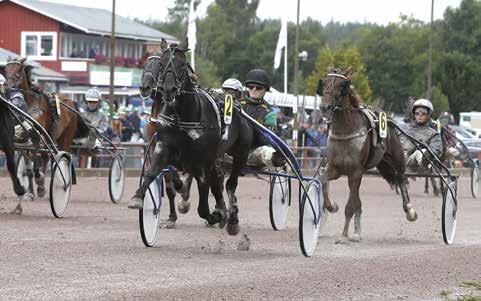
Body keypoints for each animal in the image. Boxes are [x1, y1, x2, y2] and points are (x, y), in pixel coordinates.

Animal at [129, 37, 256, 233]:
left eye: (182, 64)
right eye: (161, 63)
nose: (169, 89)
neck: (184, 116)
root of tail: (238, 107)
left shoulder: (202, 163)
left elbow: (203, 206)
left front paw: (214, 214)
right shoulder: (161, 148)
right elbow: (154, 175)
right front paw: (140, 198)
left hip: (240, 153)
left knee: (230, 183)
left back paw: (230, 217)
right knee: (218, 182)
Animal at [318, 66, 416, 241]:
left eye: (342, 85)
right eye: (323, 83)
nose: (325, 107)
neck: (345, 131)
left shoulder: (355, 172)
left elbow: (350, 205)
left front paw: (344, 235)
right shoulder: (334, 168)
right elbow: (323, 181)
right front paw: (332, 206)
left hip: (396, 160)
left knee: (401, 179)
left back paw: (410, 210)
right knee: (359, 201)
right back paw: (357, 232)